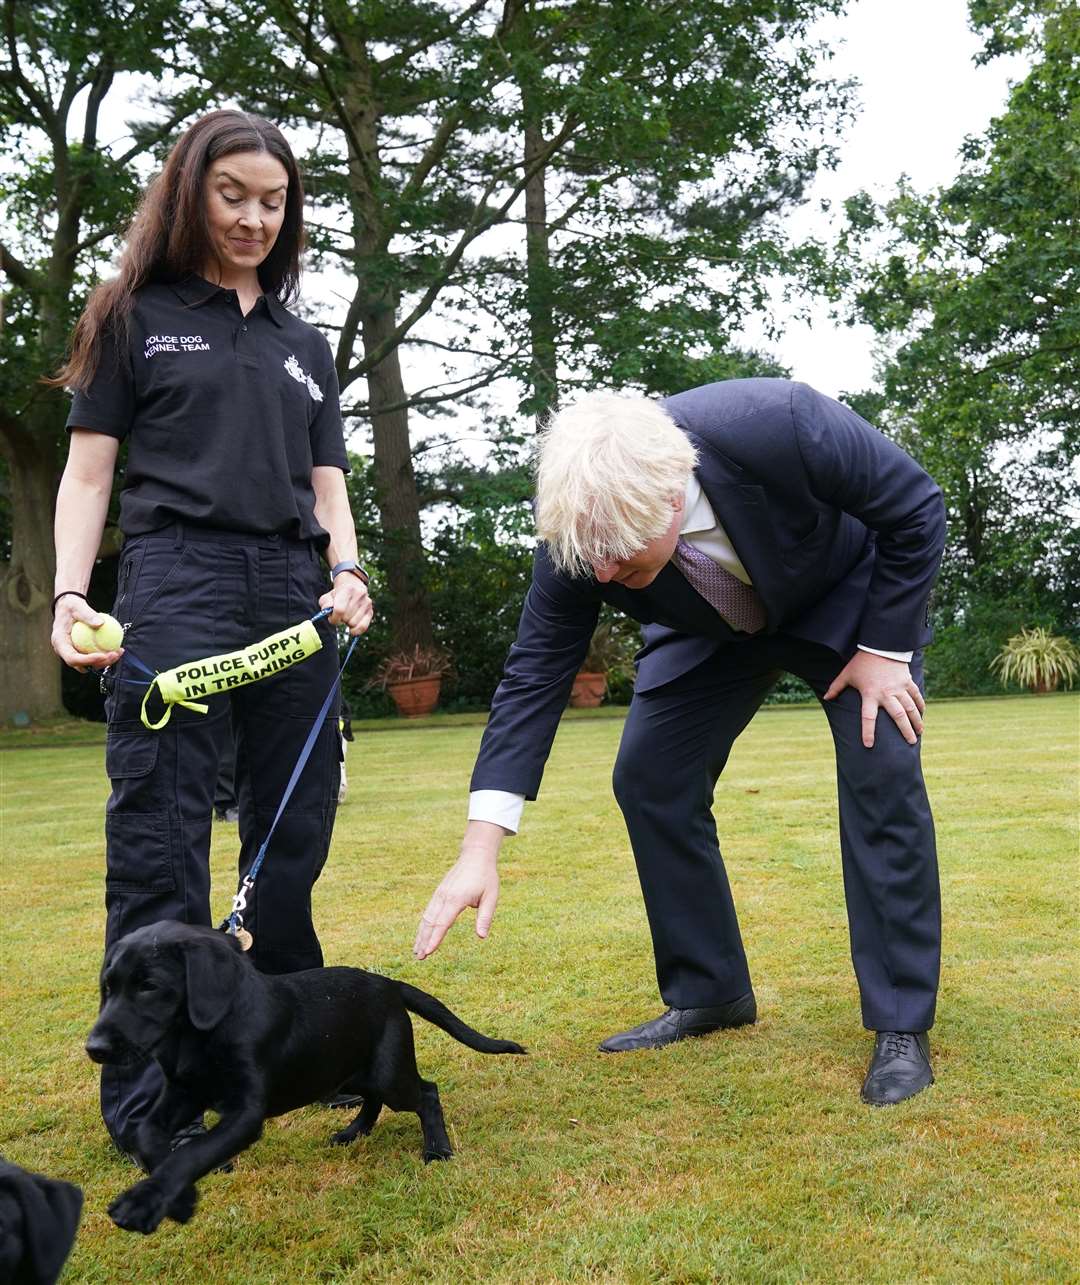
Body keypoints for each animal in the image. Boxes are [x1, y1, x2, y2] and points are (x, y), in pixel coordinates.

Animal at [86, 925, 524, 1233]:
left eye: (150, 986)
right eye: (107, 988)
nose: (94, 1048)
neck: (199, 1036)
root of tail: (389, 985)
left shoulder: (245, 1112)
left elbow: (195, 1152)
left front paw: (144, 1202)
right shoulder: (184, 1092)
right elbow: (146, 1134)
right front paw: (175, 1197)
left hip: (387, 1074)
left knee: (426, 1093)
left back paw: (436, 1150)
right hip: (340, 1070)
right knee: (373, 1099)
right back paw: (353, 1132)